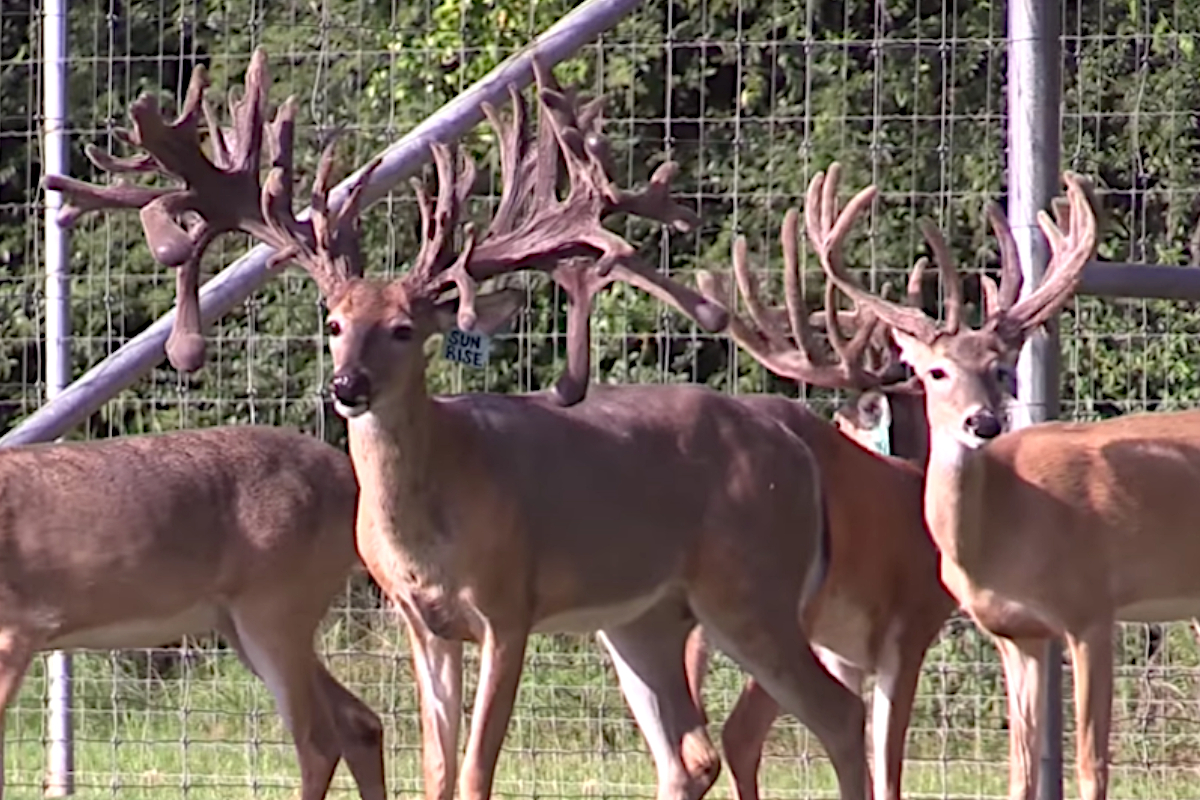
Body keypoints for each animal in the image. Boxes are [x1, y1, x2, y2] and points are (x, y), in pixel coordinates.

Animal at [0, 429, 381, 800]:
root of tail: (348, 476)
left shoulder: (18, 629)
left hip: (276, 604)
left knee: (318, 740)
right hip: (245, 621)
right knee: (360, 721)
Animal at [49, 48, 873, 800]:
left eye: (405, 329)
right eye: (333, 322)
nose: (347, 386)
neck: (439, 511)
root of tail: (795, 443)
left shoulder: (510, 606)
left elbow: (477, 771)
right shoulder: (423, 621)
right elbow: (438, 769)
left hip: (750, 585)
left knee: (838, 711)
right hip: (647, 616)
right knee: (692, 753)